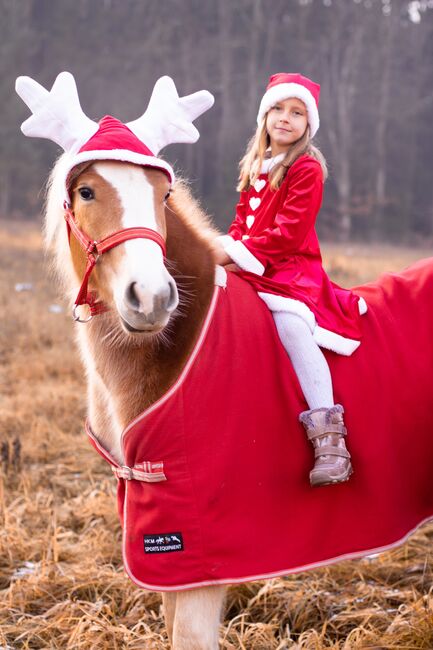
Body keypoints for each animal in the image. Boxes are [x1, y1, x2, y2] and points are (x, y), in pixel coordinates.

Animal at [42, 154, 432, 644]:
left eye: (162, 193)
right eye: (87, 191)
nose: (151, 297)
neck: (183, 348)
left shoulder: (200, 565)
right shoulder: (171, 566)